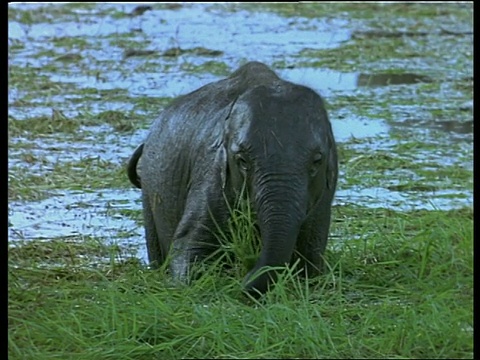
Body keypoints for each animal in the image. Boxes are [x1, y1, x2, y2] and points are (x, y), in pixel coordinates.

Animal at [127, 61, 338, 296]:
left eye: (317, 161)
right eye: (242, 160)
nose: (242, 276)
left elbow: (310, 258)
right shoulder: (211, 173)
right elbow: (186, 245)